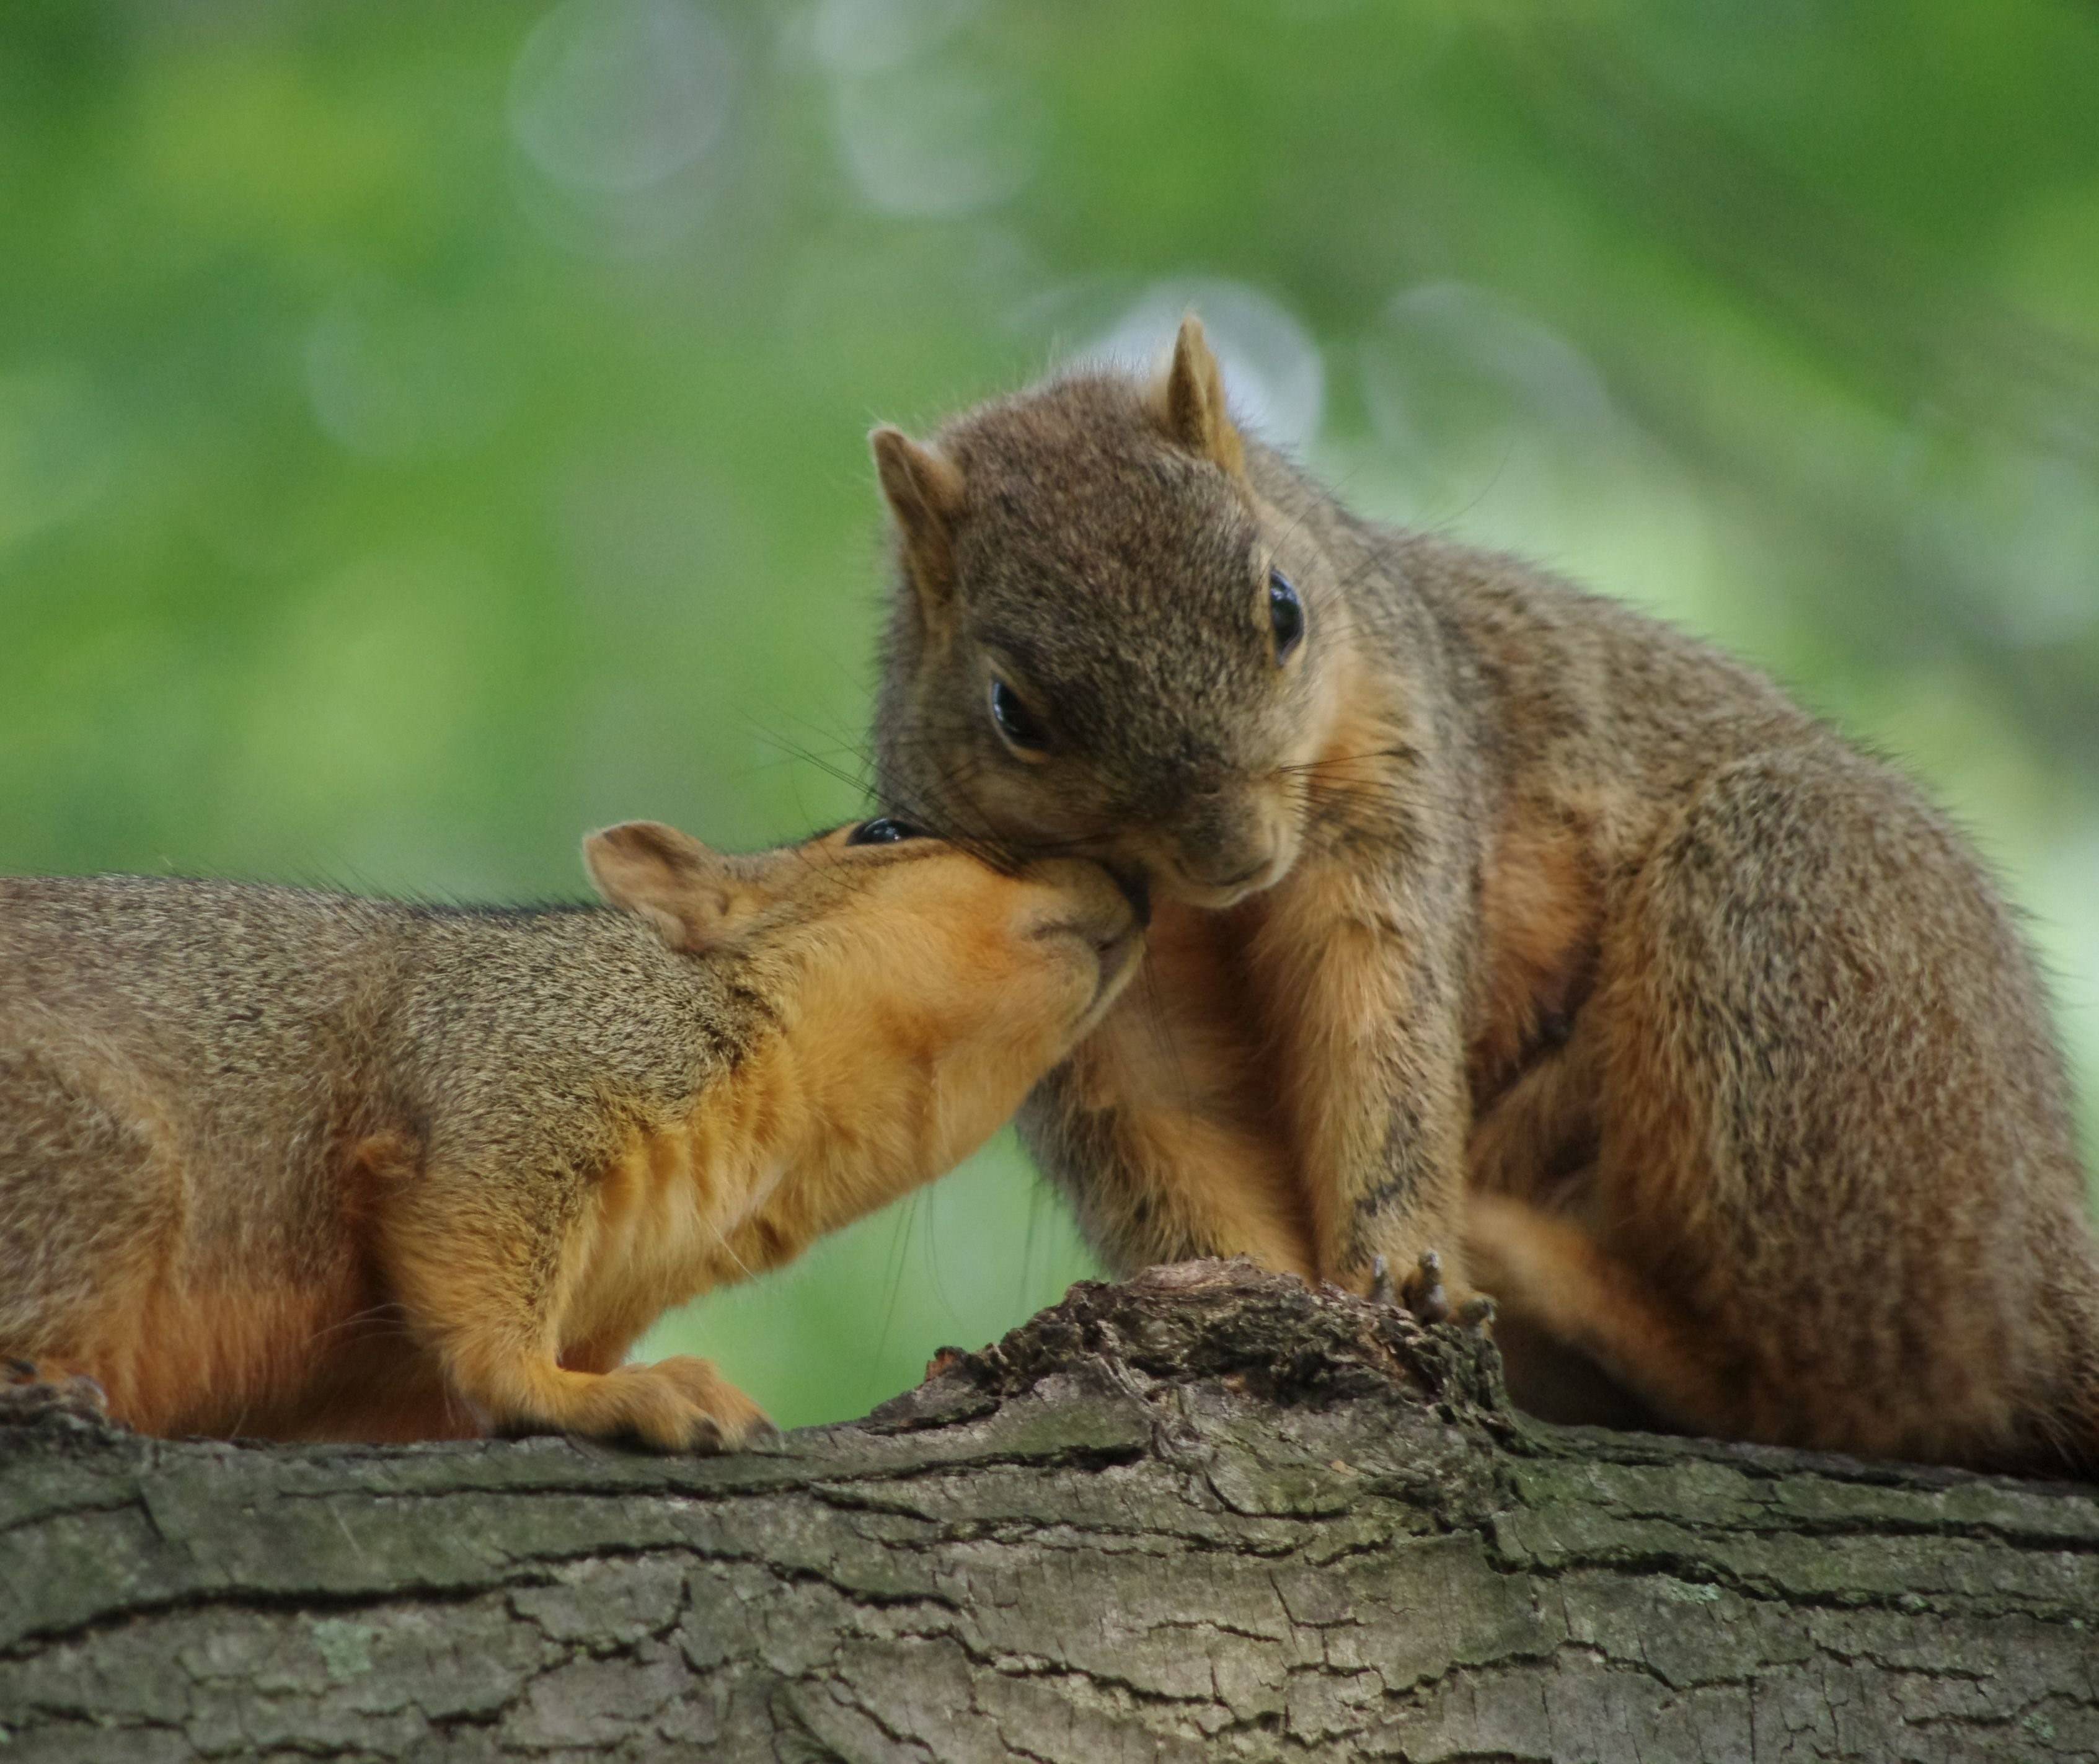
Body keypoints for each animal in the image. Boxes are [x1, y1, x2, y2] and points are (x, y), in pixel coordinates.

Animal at [0, 814, 1141, 1443]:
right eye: (885, 833)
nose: (1131, 881)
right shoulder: (513, 1070)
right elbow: (479, 1287)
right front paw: (591, 1394)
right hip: (96, 1159)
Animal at [860, 310, 2099, 1468]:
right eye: (1013, 712)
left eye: (1283, 606)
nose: (1233, 853)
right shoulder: (1084, 975)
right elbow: (1169, 1123)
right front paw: (1250, 1293)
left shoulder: (1396, 793)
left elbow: (1380, 1034)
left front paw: (1399, 1266)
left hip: (1795, 915)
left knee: (1858, 1384)